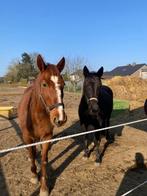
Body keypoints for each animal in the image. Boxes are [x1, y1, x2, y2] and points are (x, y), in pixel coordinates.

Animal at [17, 54, 66, 196]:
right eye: (44, 84)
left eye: (63, 84)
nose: (60, 118)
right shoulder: (28, 138)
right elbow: (33, 155)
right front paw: (34, 176)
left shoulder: (47, 137)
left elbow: (43, 161)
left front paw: (44, 187)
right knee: (32, 152)